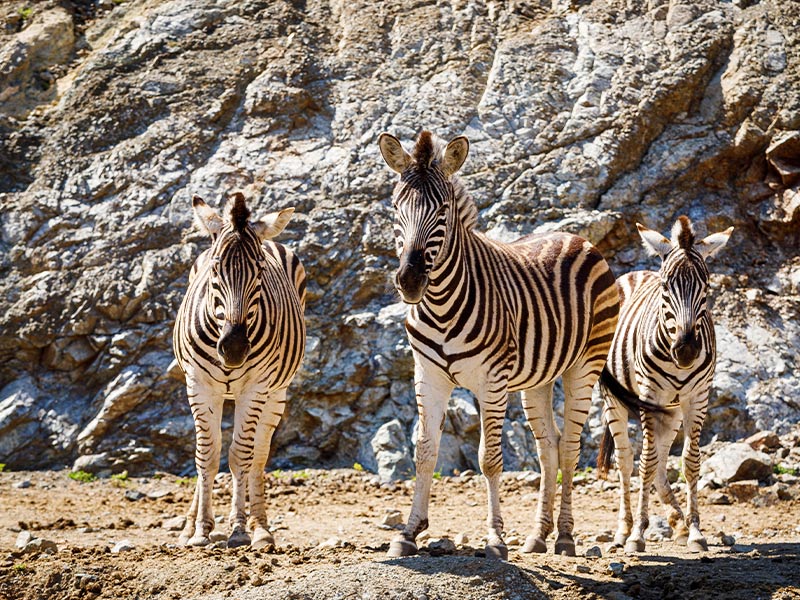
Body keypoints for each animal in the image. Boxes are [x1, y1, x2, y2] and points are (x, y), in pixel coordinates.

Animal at [171, 191, 304, 548]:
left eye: (259, 270)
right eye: (216, 268)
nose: (233, 348)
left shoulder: (256, 387)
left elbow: (240, 455)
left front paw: (240, 529)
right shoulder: (199, 385)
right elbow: (206, 454)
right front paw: (200, 529)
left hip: (277, 393)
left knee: (258, 454)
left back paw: (260, 527)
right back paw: (188, 525)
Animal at [376, 130, 620, 556]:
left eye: (443, 210)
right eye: (395, 207)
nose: (409, 280)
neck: (440, 304)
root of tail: (575, 237)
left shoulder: (492, 382)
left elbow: (489, 459)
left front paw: (494, 538)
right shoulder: (428, 377)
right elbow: (424, 453)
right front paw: (408, 532)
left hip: (584, 365)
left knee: (570, 449)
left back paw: (566, 536)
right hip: (538, 379)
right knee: (548, 448)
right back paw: (539, 535)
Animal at [596, 216, 736, 552]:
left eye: (706, 287)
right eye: (664, 286)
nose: (686, 350)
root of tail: (633, 273)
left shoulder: (697, 398)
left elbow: (690, 462)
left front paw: (695, 530)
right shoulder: (651, 394)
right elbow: (644, 463)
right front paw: (637, 535)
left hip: (670, 411)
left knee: (660, 463)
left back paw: (679, 522)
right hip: (614, 400)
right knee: (626, 460)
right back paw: (624, 529)